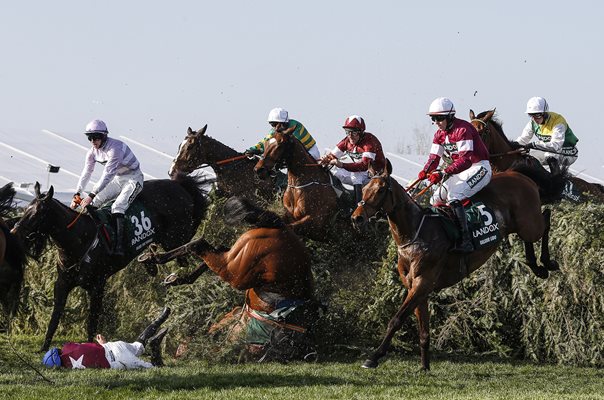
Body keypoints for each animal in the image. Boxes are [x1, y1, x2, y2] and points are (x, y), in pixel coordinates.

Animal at [11, 177, 209, 350]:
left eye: (37, 213)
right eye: (26, 209)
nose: (14, 232)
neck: (79, 239)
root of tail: (180, 185)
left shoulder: (97, 285)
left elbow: (92, 321)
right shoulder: (62, 283)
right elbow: (55, 317)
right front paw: (44, 348)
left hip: (176, 237)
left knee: (195, 251)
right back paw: (151, 262)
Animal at [354, 163, 556, 372]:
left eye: (380, 190)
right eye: (364, 188)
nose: (357, 218)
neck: (415, 234)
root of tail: (517, 173)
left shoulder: (423, 282)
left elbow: (396, 320)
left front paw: (374, 357)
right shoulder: (415, 287)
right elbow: (423, 331)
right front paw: (424, 367)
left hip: (530, 224)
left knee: (546, 218)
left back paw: (547, 261)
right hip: (522, 226)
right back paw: (536, 267)